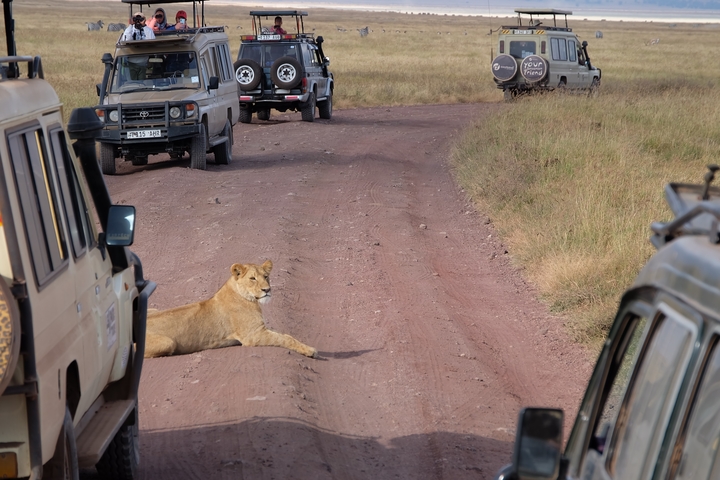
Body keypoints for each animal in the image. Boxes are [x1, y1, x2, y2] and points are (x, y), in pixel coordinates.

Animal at [144, 260, 317, 359]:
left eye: (266, 276)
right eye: (253, 278)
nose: (267, 290)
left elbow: (286, 335)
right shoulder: (253, 335)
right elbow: (285, 338)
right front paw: (310, 350)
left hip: (152, 308)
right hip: (168, 343)